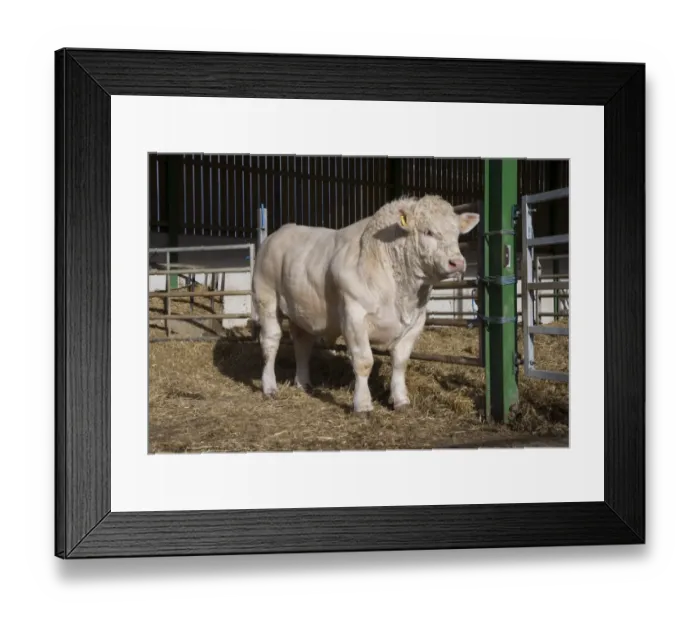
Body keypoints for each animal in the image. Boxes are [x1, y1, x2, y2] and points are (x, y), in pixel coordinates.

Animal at [251, 195, 480, 413]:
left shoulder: (416, 322)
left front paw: (401, 400)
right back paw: (269, 387)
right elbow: (363, 361)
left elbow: (400, 362)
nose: (457, 262)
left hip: (301, 310)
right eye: (428, 232)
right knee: (271, 341)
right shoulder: (354, 316)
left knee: (302, 343)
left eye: (457, 234)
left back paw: (303, 382)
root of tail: (279, 233)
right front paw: (362, 405)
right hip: (266, 298)